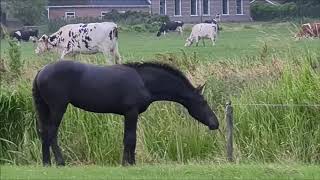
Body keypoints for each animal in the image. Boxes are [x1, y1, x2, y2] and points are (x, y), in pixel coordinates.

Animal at [31, 60, 220, 166]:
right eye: (203, 102)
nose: (215, 123)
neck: (144, 81)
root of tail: (41, 72)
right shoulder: (131, 113)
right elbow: (130, 139)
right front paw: (128, 164)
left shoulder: (129, 115)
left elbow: (129, 139)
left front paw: (129, 162)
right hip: (58, 108)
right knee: (51, 133)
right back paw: (60, 162)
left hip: (45, 109)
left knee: (44, 133)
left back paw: (46, 162)